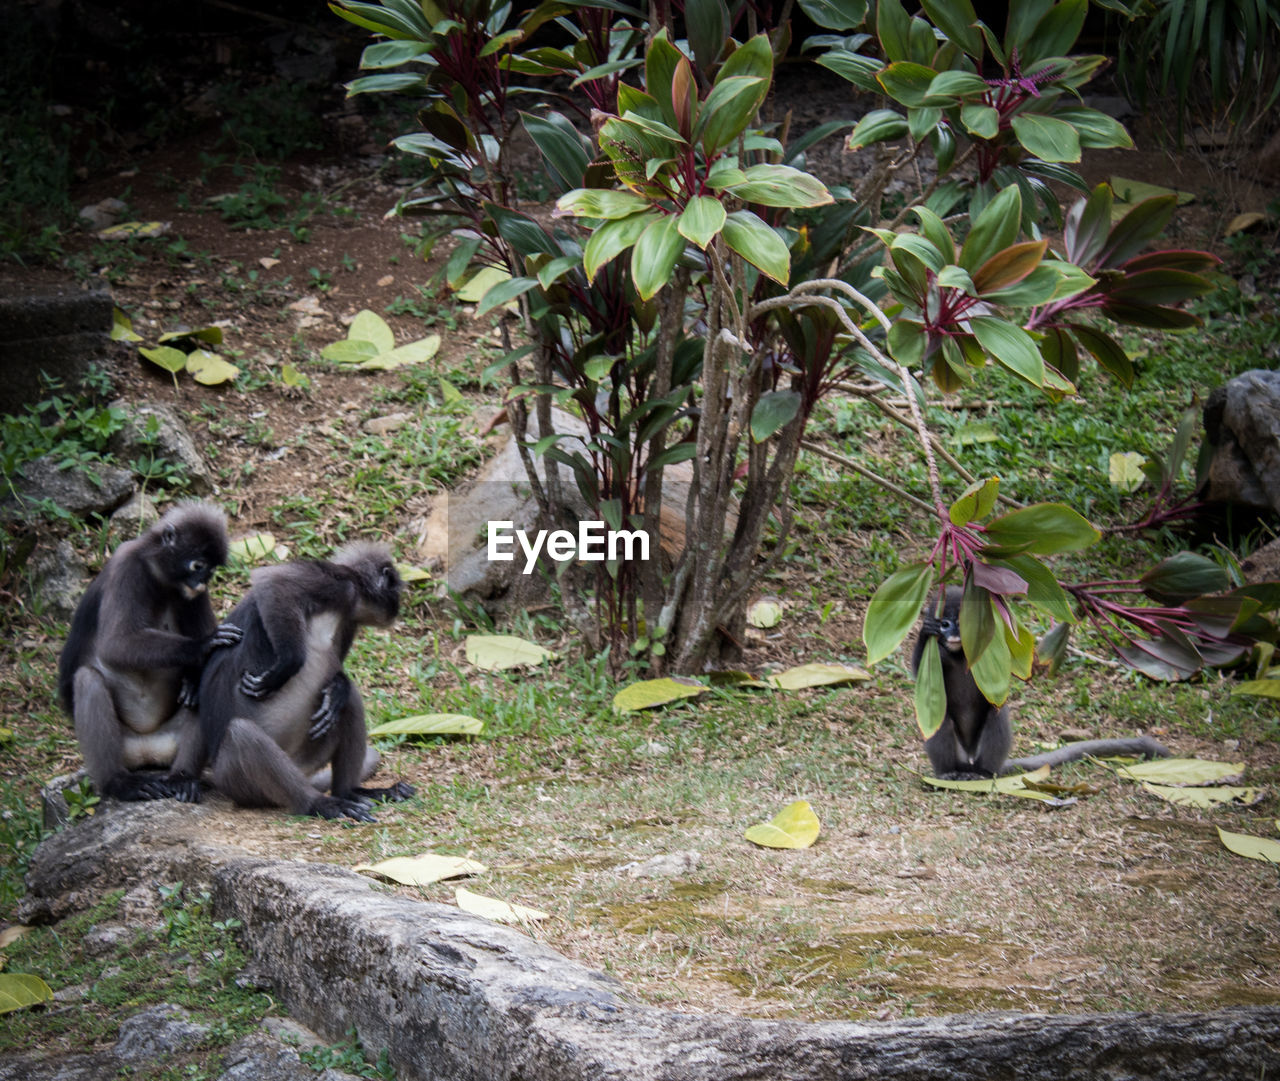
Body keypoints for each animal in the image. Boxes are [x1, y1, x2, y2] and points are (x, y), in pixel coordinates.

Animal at [58, 498, 241, 803]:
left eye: (211, 571)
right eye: (198, 565)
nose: (202, 582)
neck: (160, 579)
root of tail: (148, 749)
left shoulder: (190, 595)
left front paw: (193, 677)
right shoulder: (127, 567)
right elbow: (115, 644)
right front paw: (203, 646)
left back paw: (183, 777)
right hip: (124, 747)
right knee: (87, 679)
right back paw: (118, 783)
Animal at [911, 585, 1172, 777]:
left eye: (962, 623)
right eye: (945, 624)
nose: (954, 633)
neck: (959, 655)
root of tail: (969, 761)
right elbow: (919, 675)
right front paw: (926, 632)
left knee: (996, 713)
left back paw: (983, 773)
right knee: (938, 718)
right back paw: (947, 773)